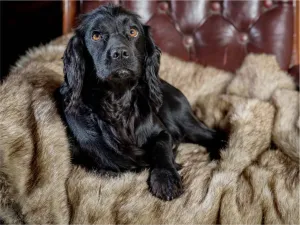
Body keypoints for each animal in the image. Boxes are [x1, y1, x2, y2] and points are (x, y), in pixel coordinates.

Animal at [56, 4, 225, 200]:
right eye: (96, 35)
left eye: (133, 31)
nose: (120, 53)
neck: (117, 102)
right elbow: (107, 162)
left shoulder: (163, 133)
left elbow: (162, 149)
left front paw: (165, 179)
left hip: (182, 119)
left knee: (214, 135)